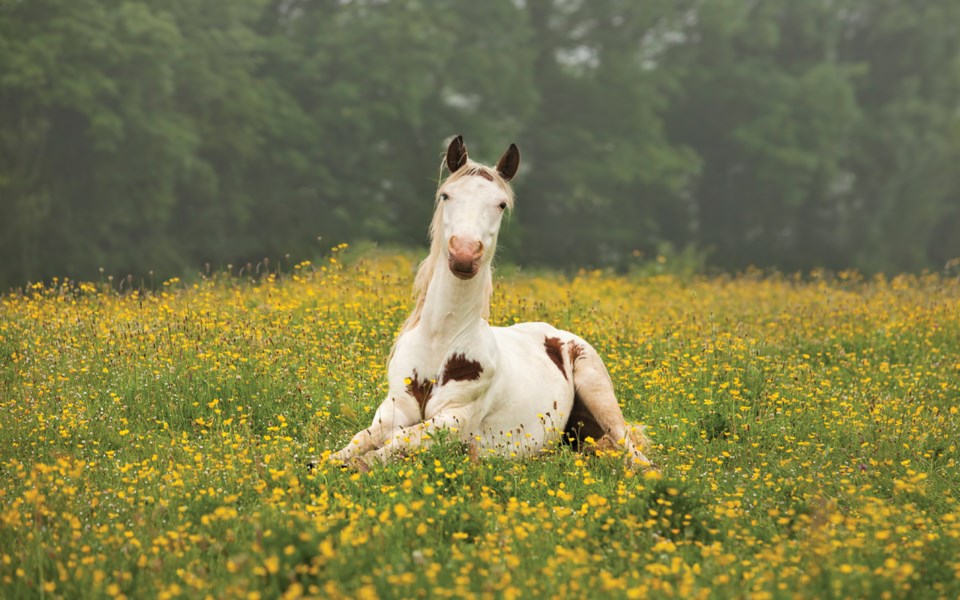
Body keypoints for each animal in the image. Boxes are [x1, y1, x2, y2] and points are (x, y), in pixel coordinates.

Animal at [328, 136, 652, 468]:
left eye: (501, 204)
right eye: (446, 195)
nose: (464, 253)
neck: (439, 342)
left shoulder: (455, 419)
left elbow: (400, 441)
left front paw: (358, 465)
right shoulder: (396, 407)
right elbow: (362, 438)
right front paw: (326, 461)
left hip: (597, 391)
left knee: (632, 450)